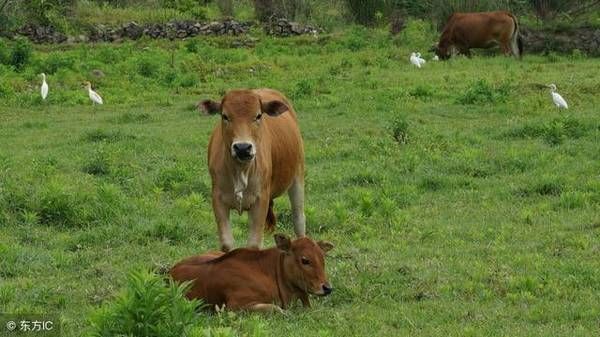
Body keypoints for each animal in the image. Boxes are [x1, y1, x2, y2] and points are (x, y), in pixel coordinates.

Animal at [170, 234, 332, 312]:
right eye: (305, 260)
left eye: (323, 259)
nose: (328, 288)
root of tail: (171, 270)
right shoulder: (234, 306)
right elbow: (277, 309)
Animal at [202, 88, 304, 251]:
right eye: (225, 116)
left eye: (258, 115)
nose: (243, 148)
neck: (240, 170)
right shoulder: (217, 199)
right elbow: (227, 243)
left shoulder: (260, 200)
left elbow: (253, 245)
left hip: (298, 175)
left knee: (299, 218)